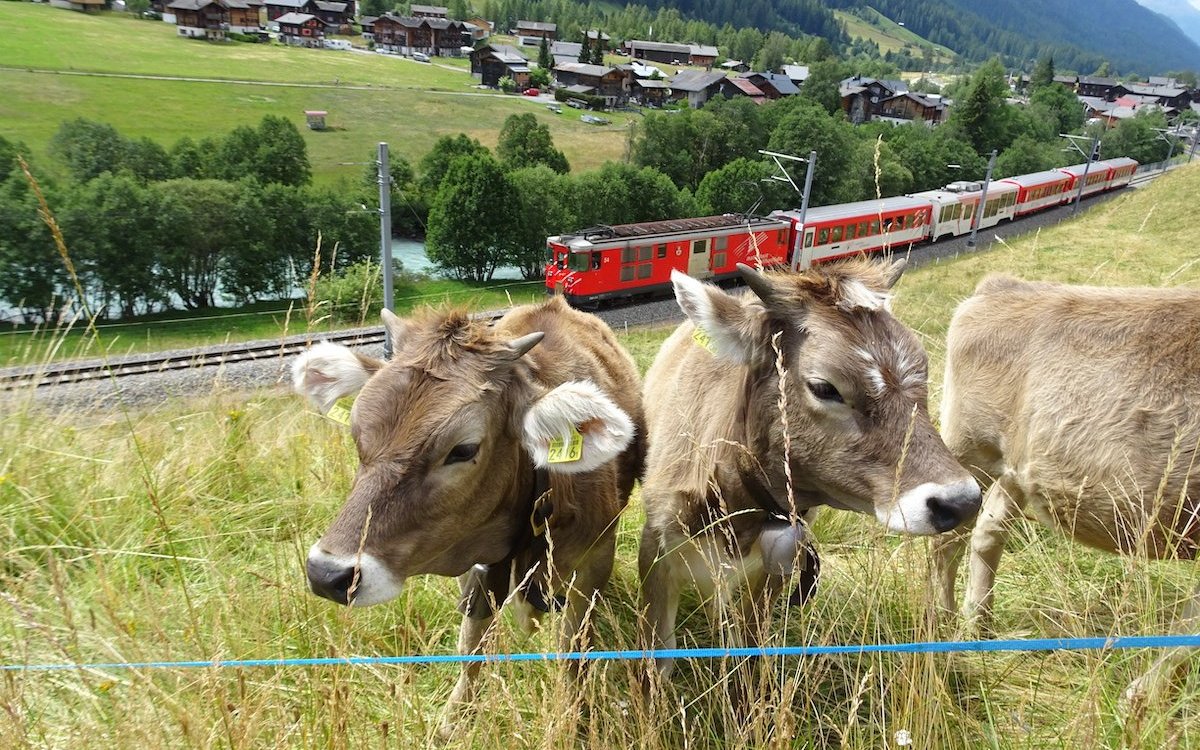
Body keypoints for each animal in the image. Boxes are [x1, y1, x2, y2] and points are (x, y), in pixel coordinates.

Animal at [291, 296, 648, 729]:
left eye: (462, 450)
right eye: (356, 432)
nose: (326, 575)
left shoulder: (595, 558)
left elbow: (573, 650)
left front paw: (571, 716)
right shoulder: (478, 569)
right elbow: (472, 645)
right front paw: (454, 719)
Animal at [643, 260, 979, 676]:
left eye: (925, 369)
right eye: (824, 387)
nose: (961, 501)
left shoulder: (773, 573)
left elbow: (748, 650)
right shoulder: (656, 551)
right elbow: (658, 657)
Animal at [936, 273, 1200, 700]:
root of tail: (1003, 285)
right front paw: (1139, 696)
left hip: (1015, 468)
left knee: (988, 530)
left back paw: (979, 622)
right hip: (969, 449)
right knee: (946, 543)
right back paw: (940, 623)